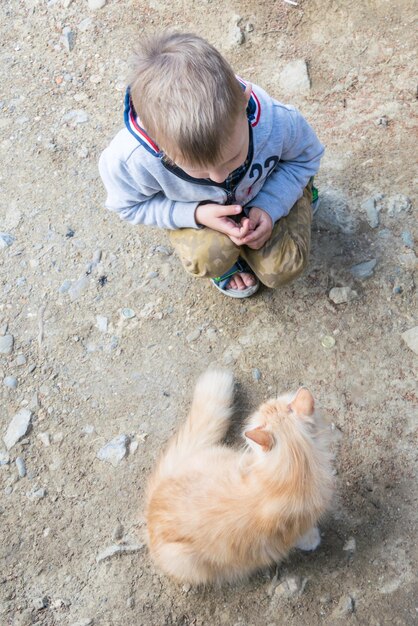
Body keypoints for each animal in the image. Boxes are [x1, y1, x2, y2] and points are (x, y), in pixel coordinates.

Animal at [146, 368, 334, 584]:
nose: (262, 404)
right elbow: (304, 536)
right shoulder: (300, 526)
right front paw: (313, 540)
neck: (297, 469)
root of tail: (152, 506)